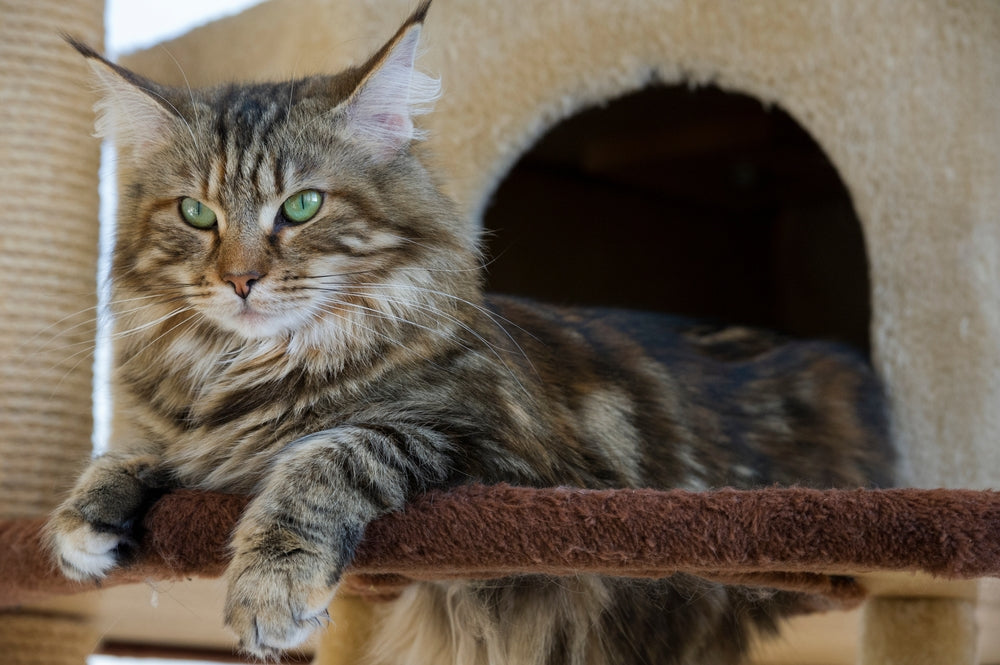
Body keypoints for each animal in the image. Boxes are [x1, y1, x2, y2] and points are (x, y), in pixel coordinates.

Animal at [47, 2, 896, 660]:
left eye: (302, 206)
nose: (240, 279)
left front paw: (270, 588)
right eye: (197, 214)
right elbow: (136, 451)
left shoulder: (507, 461)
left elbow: (332, 452)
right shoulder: (191, 436)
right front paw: (83, 517)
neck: (249, 370)